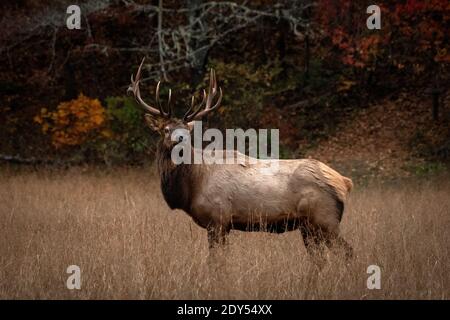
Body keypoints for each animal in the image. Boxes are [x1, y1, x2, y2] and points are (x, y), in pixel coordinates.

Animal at [128, 58, 354, 262]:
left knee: (348, 251)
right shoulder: (223, 225)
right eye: (166, 129)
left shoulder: (217, 219)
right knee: (319, 259)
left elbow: (216, 262)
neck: (191, 187)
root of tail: (344, 182)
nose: (181, 140)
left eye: (187, 130)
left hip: (325, 218)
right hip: (308, 226)